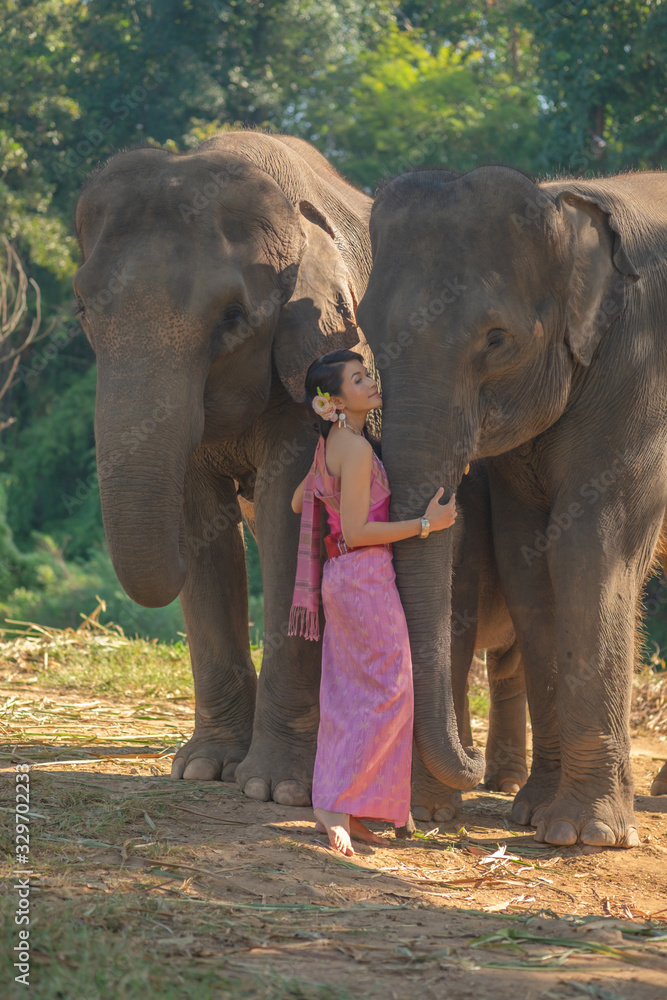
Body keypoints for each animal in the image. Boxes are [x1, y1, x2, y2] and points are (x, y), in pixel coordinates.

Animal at [357, 165, 667, 847]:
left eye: (497, 339)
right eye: (366, 327)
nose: (470, 763)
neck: (567, 203)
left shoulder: (643, 379)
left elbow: (589, 548)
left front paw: (584, 834)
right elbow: (529, 558)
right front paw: (534, 815)